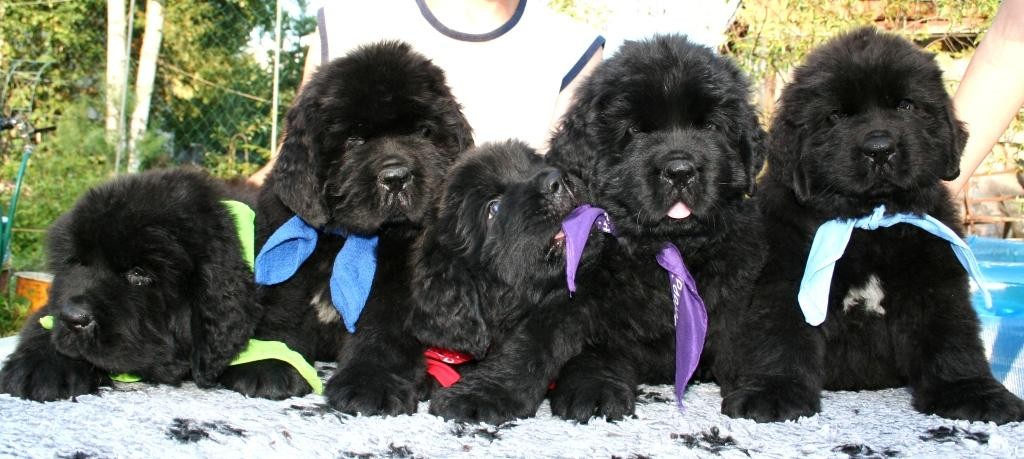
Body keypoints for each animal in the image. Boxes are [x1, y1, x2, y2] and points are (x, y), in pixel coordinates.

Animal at [218, 40, 473, 416]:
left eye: (423, 132)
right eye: (354, 139)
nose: (396, 177)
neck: (346, 239)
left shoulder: (398, 284)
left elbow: (383, 333)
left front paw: (371, 384)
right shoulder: (285, 259)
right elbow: (278, 310)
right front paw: (267, 364)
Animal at [420, 34, 767, 424]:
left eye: (709, 127)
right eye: (635, 131)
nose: (680, 170)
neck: (666, 248)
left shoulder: (738, 291)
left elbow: (751, 338)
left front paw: (766, 388)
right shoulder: (574, 291)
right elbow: (534, 342)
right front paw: (485, 391)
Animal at [720, 27, 1024, 424]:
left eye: (906, 106)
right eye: (836, 116)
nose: (879, 148)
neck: (869, 225)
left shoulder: (935, 278)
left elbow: (951, 335)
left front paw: (971, 391)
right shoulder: (785, 275)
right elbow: (779, 332)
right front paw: (773, 391)